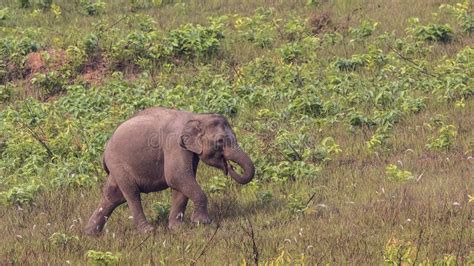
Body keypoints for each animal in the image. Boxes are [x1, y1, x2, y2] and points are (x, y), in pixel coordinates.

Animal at [85, 106, 256, 235]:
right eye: (220, 141)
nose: (229, 166)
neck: (196, 116)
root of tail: (105, 149)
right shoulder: (174, 144)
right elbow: (177, 177)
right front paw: (202, 222)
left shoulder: (188, 150)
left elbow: (181, 184)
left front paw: (178, 228)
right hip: (118, 164)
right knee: (131, 194)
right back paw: (148, 231)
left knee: (113, 196)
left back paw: (90, 233)